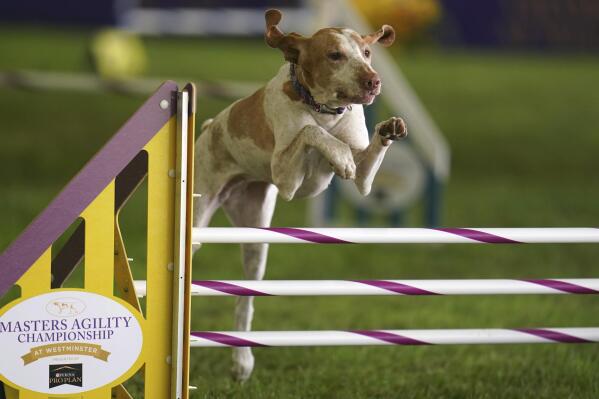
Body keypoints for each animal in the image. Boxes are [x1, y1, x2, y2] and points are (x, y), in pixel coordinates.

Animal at [192, 9, 408, 382]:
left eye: (367, 53)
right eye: (335, 55)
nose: (373, 81)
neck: (325, 109)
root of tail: (207, 128)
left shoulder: (364, 181)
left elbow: (361, 162)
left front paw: (387, 129)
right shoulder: (286, 178)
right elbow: (311, 131)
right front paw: (338, 155)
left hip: (256, 242)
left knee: (244, 301)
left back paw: (242, 362)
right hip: (198, 217)